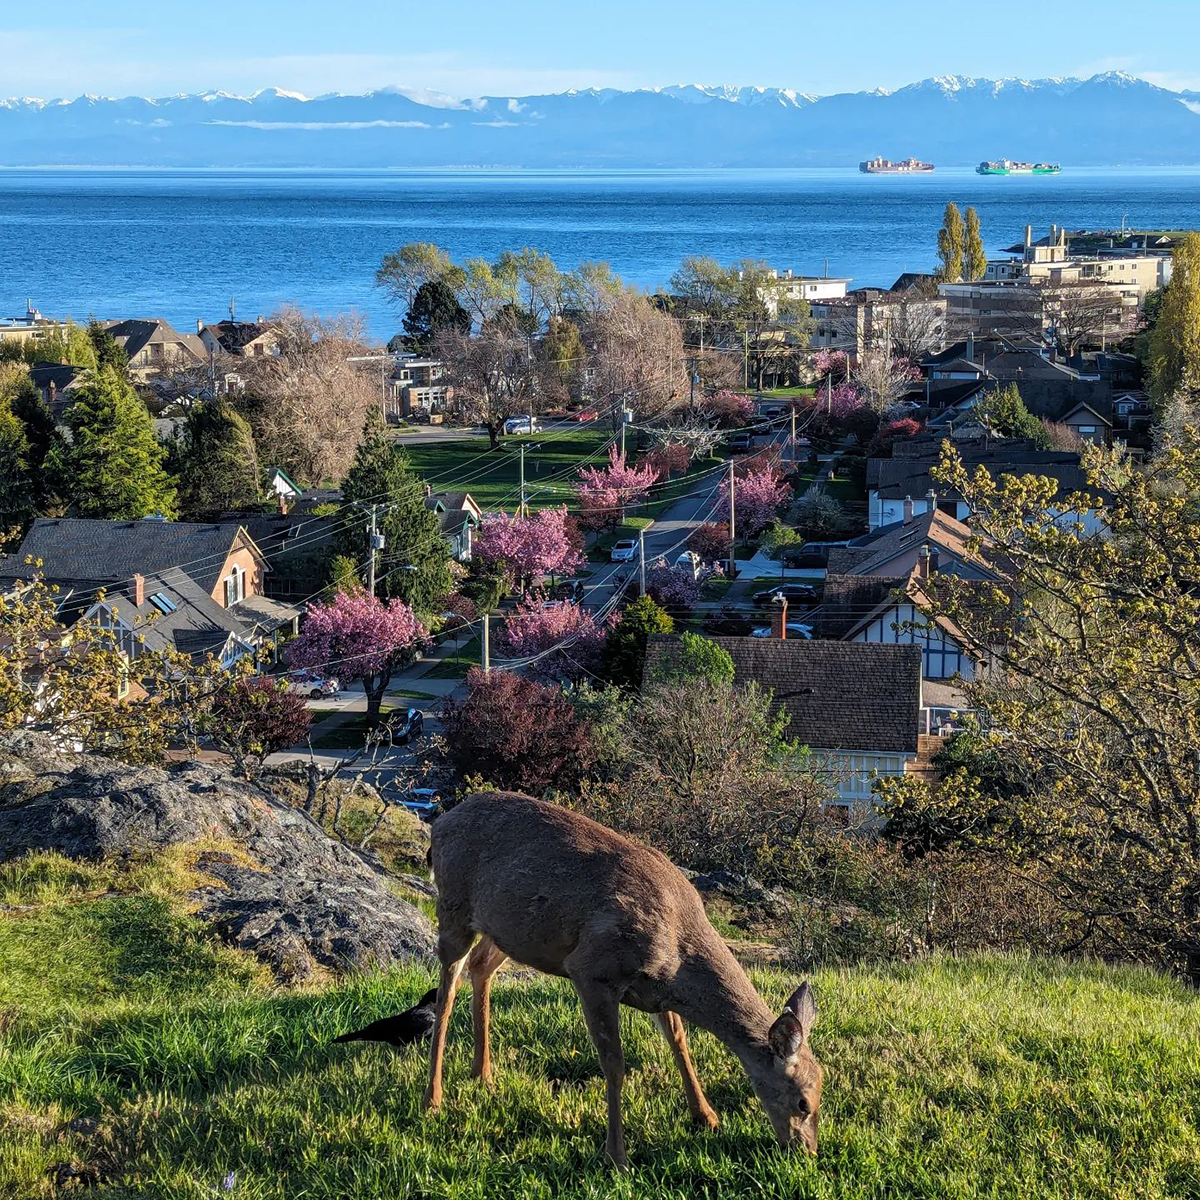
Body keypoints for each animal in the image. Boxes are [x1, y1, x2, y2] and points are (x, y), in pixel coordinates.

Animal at [417, 792, 820, 1166]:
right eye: (803, 1103)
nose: (808, 1152)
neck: (677, 950)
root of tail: (441, 824)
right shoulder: (592, 970)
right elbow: (614, 1063)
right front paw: (616, 1155)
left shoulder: (656, 992)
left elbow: (678, 1041)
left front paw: (706, 1116)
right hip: (453, 906)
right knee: (446, 993)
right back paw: (433, 1099)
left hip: (510, 931)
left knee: (481, 965)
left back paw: (483, 1074)